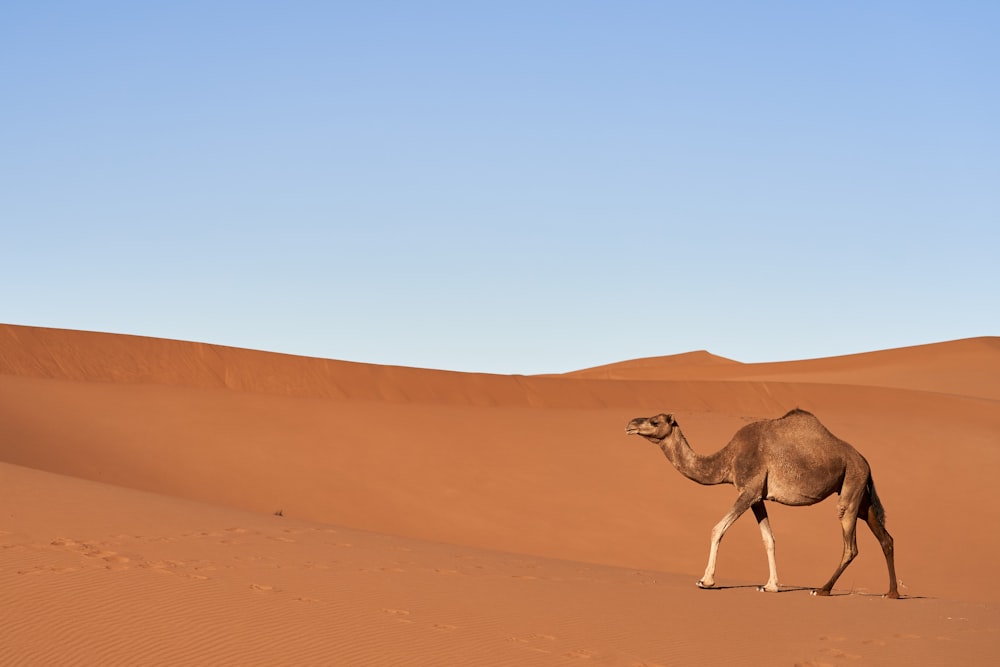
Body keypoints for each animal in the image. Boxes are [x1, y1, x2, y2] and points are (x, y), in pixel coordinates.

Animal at [624, 410, 900, 596]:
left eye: (655, 421)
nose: (630, 424)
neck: (728, 458)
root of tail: (865, 461)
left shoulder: (749, 490)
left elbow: (717, 529)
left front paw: (706, 580)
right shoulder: (757, 496)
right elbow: (768, 538)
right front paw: (770, 585)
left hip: (851, 484)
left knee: (850, 545)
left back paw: (822, 589)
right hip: (861, 495)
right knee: (885, 537)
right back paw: (892, 593)